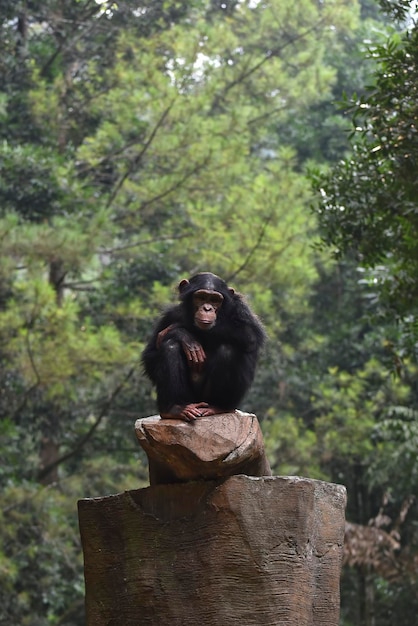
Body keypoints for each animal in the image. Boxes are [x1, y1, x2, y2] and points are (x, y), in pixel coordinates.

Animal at [140, 272, 264, 420]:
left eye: (215, 300)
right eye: (201, 297)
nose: (207, 308)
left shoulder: (241, 309)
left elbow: (249, 335)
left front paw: (179, 329)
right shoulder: (171, 314)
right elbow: (150, 358)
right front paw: (184, 336)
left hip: (216, 399)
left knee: (228, 350)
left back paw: (219, 407)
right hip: (190, 399)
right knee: (171, 346)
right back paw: (173, 409)